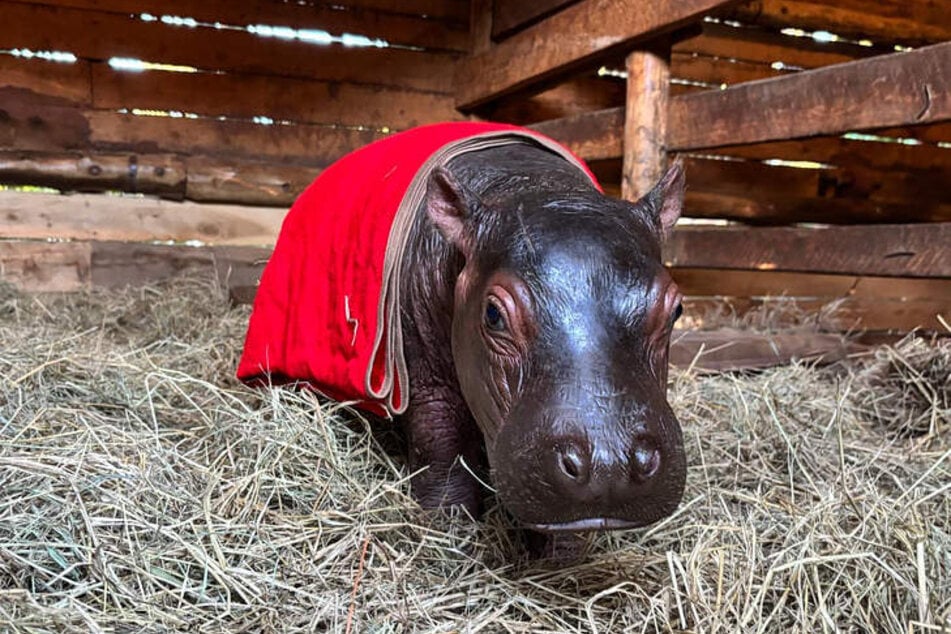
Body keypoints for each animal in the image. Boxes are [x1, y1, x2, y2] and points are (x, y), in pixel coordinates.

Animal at [238, 122, 686, 543]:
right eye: (493, 314)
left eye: (676, 309)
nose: (610, 463)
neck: (535, 186)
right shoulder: (424, 374)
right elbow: (441, 440)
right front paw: (448, 527)